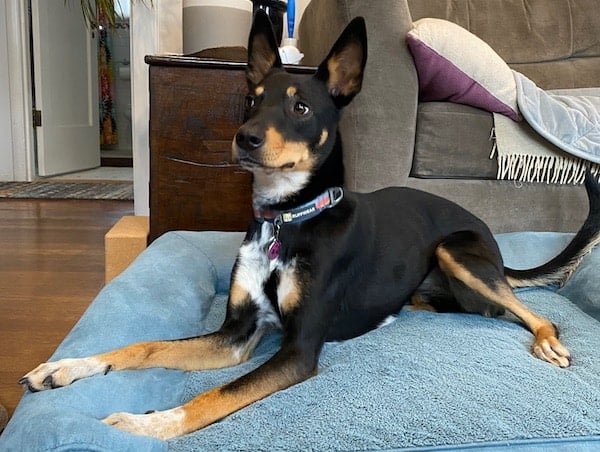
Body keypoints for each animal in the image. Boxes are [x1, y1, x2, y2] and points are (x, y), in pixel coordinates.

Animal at [18, 12, 600, 440]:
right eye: (251, 100)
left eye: (300, 107)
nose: (244, 138)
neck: (286, 219)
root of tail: (492, 241)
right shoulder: (237, 335)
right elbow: (145, 347)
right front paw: (66, 367)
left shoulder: (297, 352)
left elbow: (214, 397)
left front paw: (146, 424)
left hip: (457, 251)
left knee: (536, 312)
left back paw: (548, 340)